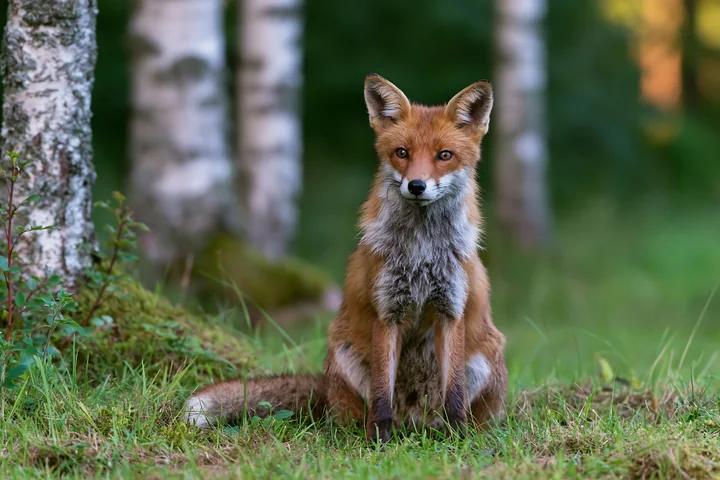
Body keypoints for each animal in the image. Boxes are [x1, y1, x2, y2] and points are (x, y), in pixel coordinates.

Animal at [185, 74, 508, 442]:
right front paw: (379, 441)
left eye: (444, 155)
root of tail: (414, 423)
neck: (421, 251)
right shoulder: (387, 311)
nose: (416, 185)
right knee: (350, 414)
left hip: (486, 358)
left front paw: (457, 439)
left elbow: (453, 391)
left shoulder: (450, 310)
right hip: (343, 351)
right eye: (402, 153)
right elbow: (382, 390)